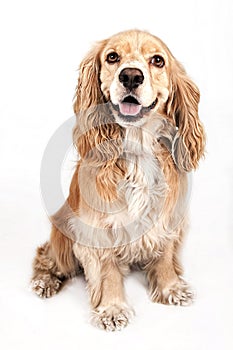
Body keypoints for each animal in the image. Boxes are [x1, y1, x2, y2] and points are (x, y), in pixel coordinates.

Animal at [30, 29, 204, 330]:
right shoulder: (98, 229)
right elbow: (107, 271)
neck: (138, 146)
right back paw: (46, 280)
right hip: (62, 233)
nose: (131, 76)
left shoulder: (168, 218)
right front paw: (112, 308)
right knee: (46, 256)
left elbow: (165, 255)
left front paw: (170, 288)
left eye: (158, 60)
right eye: (112, 57)